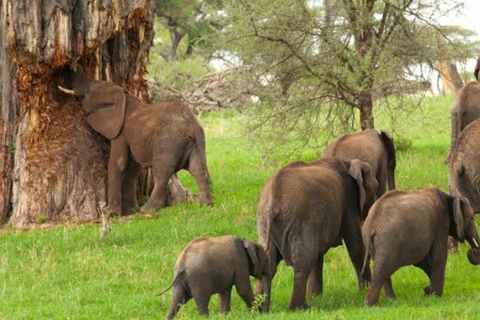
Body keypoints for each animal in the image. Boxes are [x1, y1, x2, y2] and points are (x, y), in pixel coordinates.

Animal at [58, 69, 212, 216]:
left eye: (89, 91)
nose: (70, 70)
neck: (123, 95)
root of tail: (191, 126)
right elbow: (131, 169)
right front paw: (129, 212)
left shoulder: (120, 134)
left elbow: (118, 164)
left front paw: (111, 213)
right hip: (197, 141)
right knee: (198, 169)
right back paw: (206, 205)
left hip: (169, 142)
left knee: (162, 173)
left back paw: (146, 211)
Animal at [256, 158, 376, 310]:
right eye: (375, 187)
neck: (349, 162)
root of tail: (273, 201)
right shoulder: (349, 200)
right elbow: (355, 247)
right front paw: (365, 291)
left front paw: (315, 297)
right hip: (300, 218)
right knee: (304, 261)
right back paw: (300, 308)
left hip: (264, 222)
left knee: (269, 263)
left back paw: (258, 309)